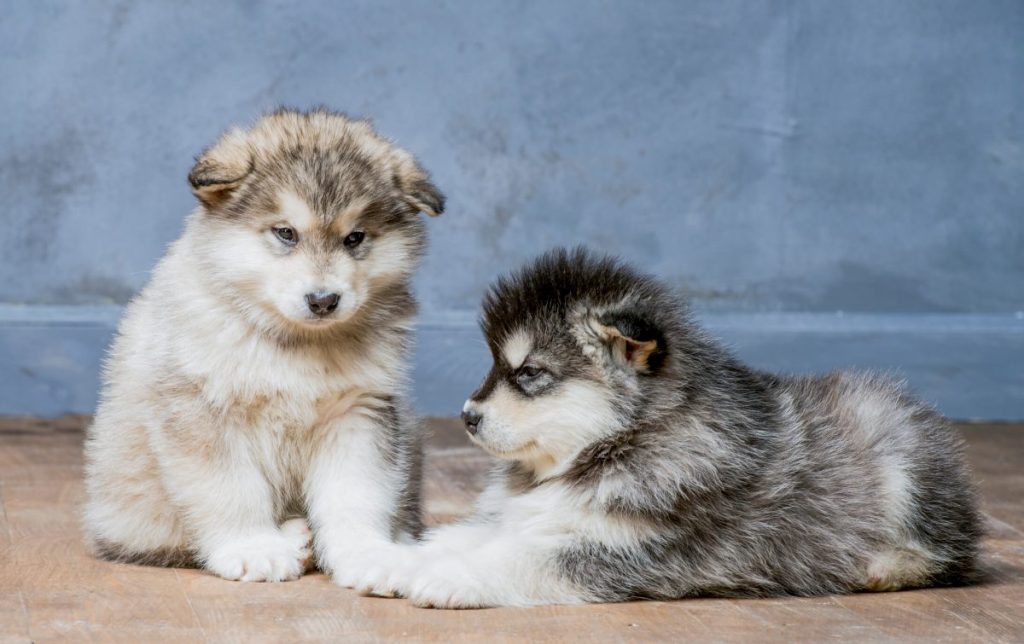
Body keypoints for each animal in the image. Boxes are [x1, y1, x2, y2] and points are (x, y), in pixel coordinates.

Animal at [83, 106, 444, 581]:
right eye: (285, 233)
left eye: (355, 238)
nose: (323, 300)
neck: (294, 343)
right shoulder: (201, 411)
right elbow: (230, 488)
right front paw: (251, 546)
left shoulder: (358, 413)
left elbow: (356, 495)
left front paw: (366, 553)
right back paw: (291, 537)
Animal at [354, 245, 983, 606]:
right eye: (494, 367)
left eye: (529, 373)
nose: (467, 416)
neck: (622, 442)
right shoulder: (525, 517)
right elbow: (457, 536)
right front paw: (394, 560)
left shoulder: (629, 551)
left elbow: (519, 559)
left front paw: (447, 578)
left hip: (899, 451)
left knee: (950, 553)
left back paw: (884, 567)